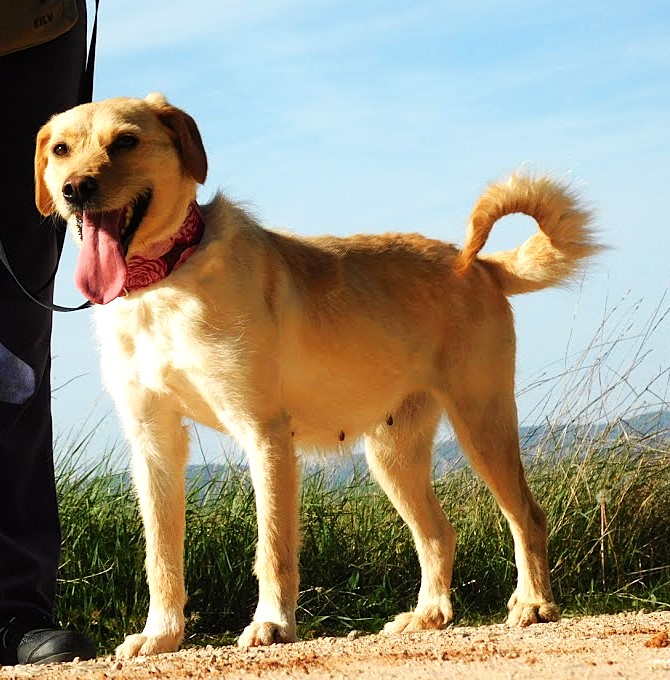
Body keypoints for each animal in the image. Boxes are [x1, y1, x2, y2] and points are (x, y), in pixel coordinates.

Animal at [35, 93, 604, 656]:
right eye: (61, 149)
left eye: (125, 141)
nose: (74, 190)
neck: (167, 281)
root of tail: (480, 265)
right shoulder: (154, 442)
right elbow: (161, 556)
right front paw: (161, 634)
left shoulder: (263, 433)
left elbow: (273, 548)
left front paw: (272, 625)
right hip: (393, 455)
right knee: (439, 534)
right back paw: (428, 615)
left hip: (483, 422)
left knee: (527, 517)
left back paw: (534, 604)